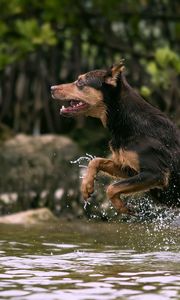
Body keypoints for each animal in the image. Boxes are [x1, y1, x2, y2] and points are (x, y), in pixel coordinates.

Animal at [50, 62, 180, 214]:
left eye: (80, 82)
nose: (51, 88)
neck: (129, 123)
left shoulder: (156, 173)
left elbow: (111, 188)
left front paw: (122, 207)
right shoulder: (130, 169)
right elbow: (96, 161)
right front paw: (86, 186)